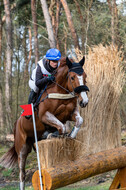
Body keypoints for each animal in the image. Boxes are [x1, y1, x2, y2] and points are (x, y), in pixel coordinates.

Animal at [0, 56, 88, 189]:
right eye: (72, 77)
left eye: (85, 76)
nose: (84, 101)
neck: (61, 91)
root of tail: (16, 123)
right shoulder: (44, 115)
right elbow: (62, 127)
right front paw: (53, 135)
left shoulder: (71, 113)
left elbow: (78, 121)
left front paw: (71, 134)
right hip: (22, 148)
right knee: (22, 174)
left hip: (35, 144)